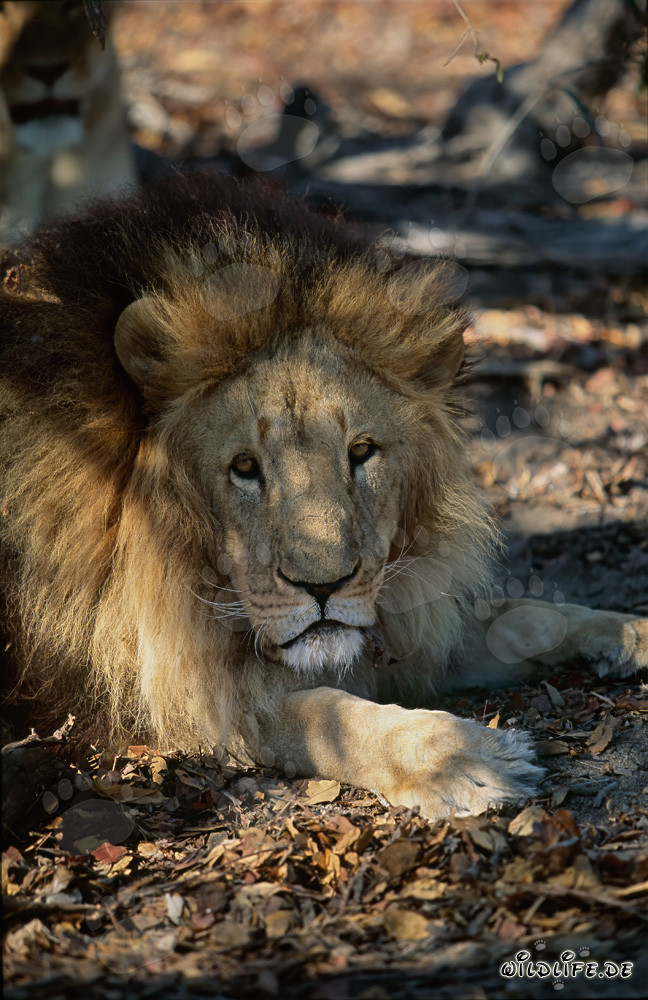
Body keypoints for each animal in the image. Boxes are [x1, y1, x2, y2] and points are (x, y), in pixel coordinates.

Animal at [1, 172, 646, 820]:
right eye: (244, 467)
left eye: (361, 451)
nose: (324, 587)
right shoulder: (182, 701)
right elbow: (327, 714)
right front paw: (460, 758)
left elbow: (525, 615)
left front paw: (630, 632)